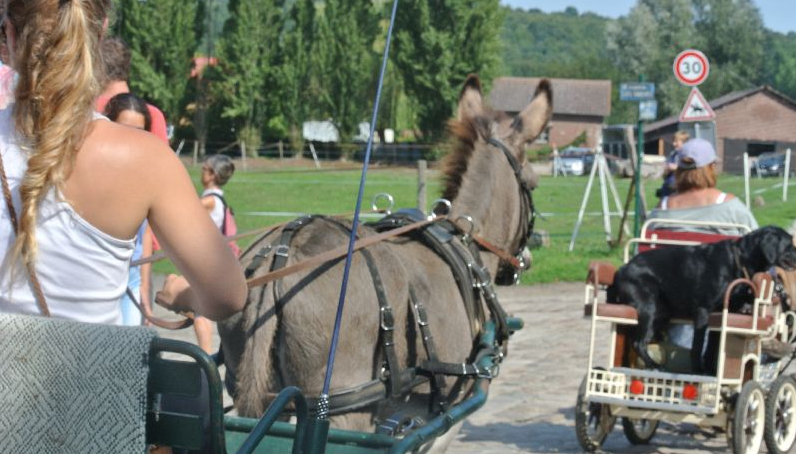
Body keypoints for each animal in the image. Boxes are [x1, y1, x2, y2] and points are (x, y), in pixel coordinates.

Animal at [218, 74, 552, 446]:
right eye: (534, 183)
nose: (525, 260)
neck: (464, 236)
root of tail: (280, 255)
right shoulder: (447, 415)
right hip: (342, 409)